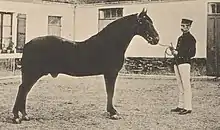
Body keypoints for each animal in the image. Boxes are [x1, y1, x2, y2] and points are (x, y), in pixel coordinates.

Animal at [12, 8, 159, 124]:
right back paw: (16, 117)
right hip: (33, 74)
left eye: (151, 22)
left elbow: (109, 92)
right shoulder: (111, 73)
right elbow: (110, 92)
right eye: (144, 22)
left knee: (25, 91)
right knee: (22, 90)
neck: (110, 43)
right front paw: (113, 113)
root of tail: (28, 44)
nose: (156, 39)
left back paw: (24, 115)